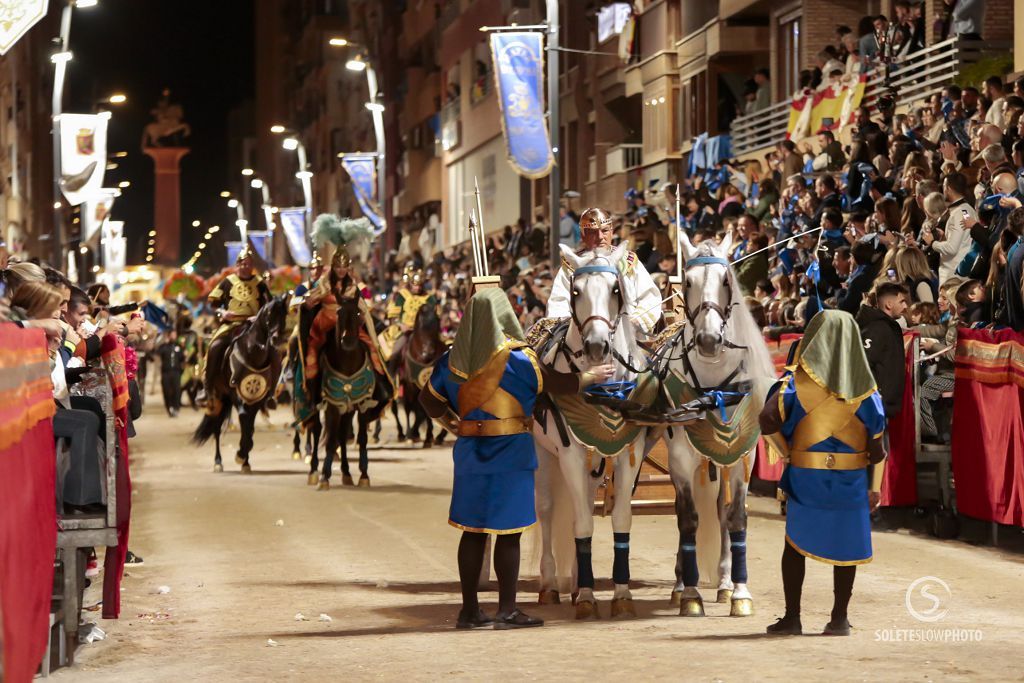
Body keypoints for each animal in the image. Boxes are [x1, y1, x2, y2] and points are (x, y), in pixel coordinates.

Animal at [191, 296, 288, 473]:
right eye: (269, 313)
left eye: (284, 313)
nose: (277, 339)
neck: (252, 352)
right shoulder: (236, 394)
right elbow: (244, 418)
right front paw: (240, 455)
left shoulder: (256, 398)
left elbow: (249, 428)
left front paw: (244, 459)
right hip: (218, 396)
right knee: (216, 427)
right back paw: (218, 462)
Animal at [311, 294, 391, 491]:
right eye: (338, 312)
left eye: (358, 313)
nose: (348, 341)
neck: (348, 362)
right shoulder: (332, 405)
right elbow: (330, 441)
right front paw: (324, 478)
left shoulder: (362, 404)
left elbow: (361, 438)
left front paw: (364, 476)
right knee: (317, 431)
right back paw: (314, 471)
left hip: (347, 409)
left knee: (341, 435)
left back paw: (347, 473)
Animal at [532, 244, 651, 618]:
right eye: (575, 291)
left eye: (615, 290)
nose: (597, 345)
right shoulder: (569, 454)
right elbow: (581, 523)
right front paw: (586, 597)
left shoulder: (628, 455)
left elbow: (621, 520)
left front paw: (622, 595)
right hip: (544, 455)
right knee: (548, 510)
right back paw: (551, 586)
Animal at [663, 233, 774, 618]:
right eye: (689, 282)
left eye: (726, 280)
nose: (709, 340)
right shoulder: (681, 458)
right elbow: (687, 519)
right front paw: (690, 594)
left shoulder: (743, 457)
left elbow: (736, 517)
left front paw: (740, 592)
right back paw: (680, 583)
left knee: (721, 513)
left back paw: (725, 584)